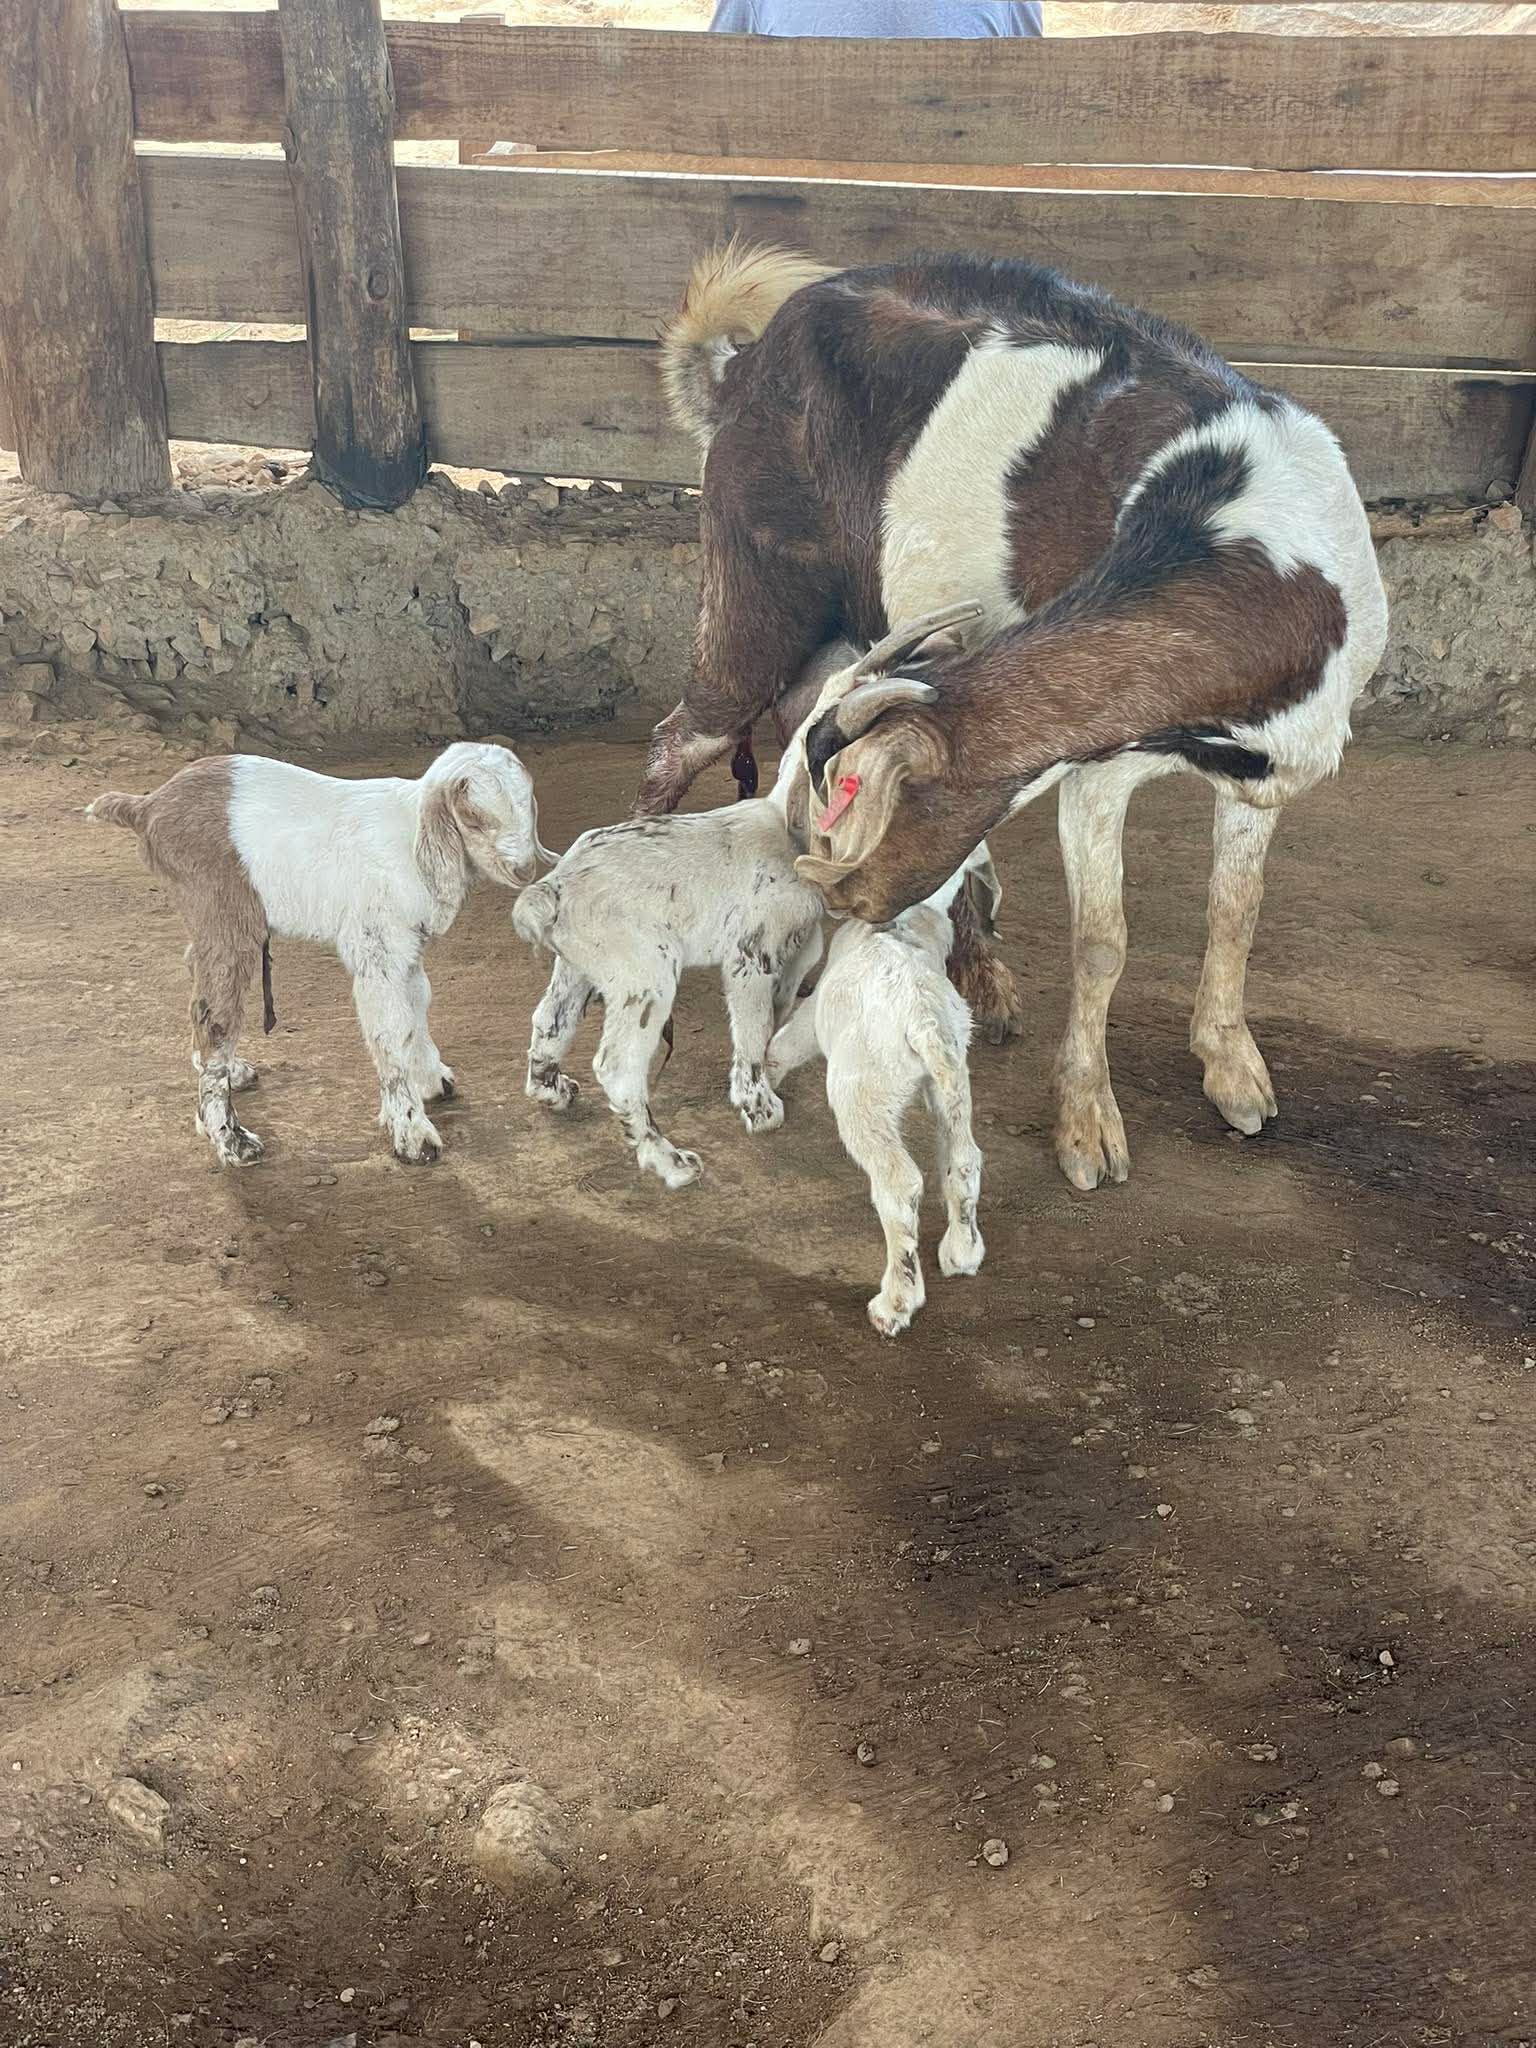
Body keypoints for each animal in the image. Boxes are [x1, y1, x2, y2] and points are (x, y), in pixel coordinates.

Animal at [87, 742, 547, 1166]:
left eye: (527, 805)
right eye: (474, 817)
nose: (524, 870)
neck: (412, 834)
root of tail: (146, 806)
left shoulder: (407, 946)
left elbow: (418, 1004)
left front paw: (433, 1079)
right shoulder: (377, 946)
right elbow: (391, 1027)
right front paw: (413, 1134)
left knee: (195, 972)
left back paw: (231, 1073)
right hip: (219, 904)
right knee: (213, 1015)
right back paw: (232, 1140)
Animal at [649, 245, 1389, 1190]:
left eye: (854, 793)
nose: (843, 896)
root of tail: (742, 367)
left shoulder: (1260, 769)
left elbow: (1236, 910)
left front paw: (1233, 1071)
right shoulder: (1095, 767)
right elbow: (1103, 940)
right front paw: (1087, 1126)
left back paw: (982, 979)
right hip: (752, 585)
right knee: (680, 739)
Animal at [767, 847, 988, 1337]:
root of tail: (923, 1019)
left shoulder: (815, 1015)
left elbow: (784, 1045)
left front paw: (761, 1092)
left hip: (863, 1092)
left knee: (899, 1183)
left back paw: (896, 1303)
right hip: (953, 1075)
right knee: (963, 1159)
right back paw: (963, 1251)